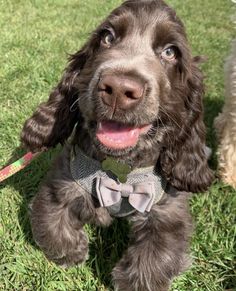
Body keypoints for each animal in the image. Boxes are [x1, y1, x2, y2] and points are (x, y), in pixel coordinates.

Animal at [20, 1, 213, 290]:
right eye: (107, 37)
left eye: (170, 52)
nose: (120, 89)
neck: (120, 171)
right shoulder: (61, 182)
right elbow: (53, 224)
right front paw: (75, 252)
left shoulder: (169, 209)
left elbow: (157, 256)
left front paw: (132, 281)